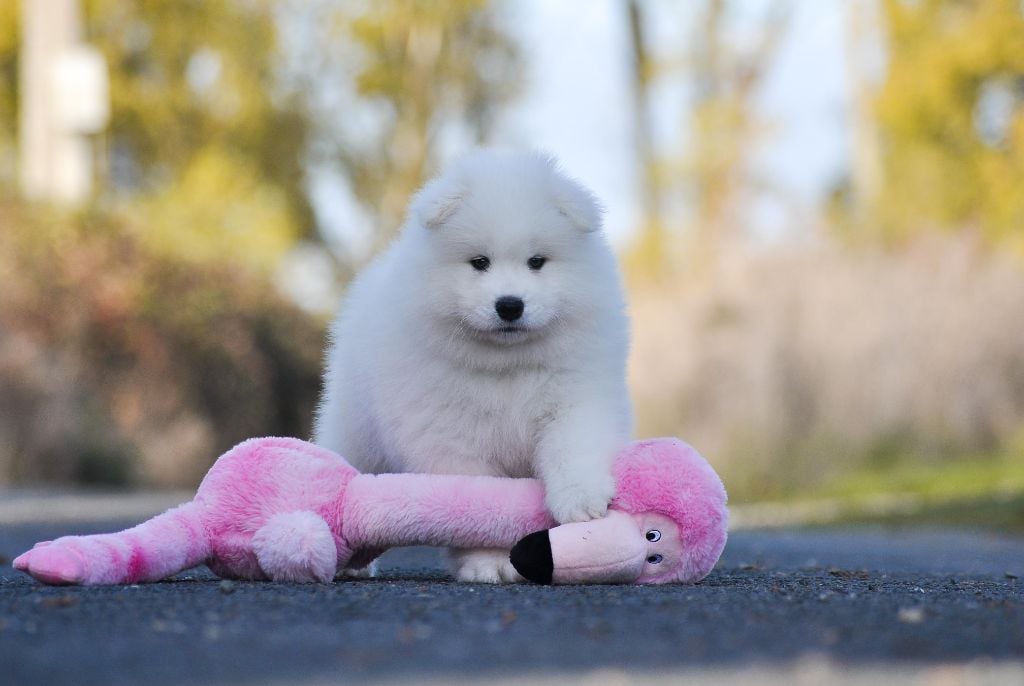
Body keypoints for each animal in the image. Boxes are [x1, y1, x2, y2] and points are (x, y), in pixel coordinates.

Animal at [311, 149, 630, 581]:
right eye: (480, 262)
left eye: (536, 262)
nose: (510, 305)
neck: (507, 365)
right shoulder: (450, 437)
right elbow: (475, 503)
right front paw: (488, 561)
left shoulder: (577, 398)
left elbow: (573, 445)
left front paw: (582, 501)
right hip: (356, 432)